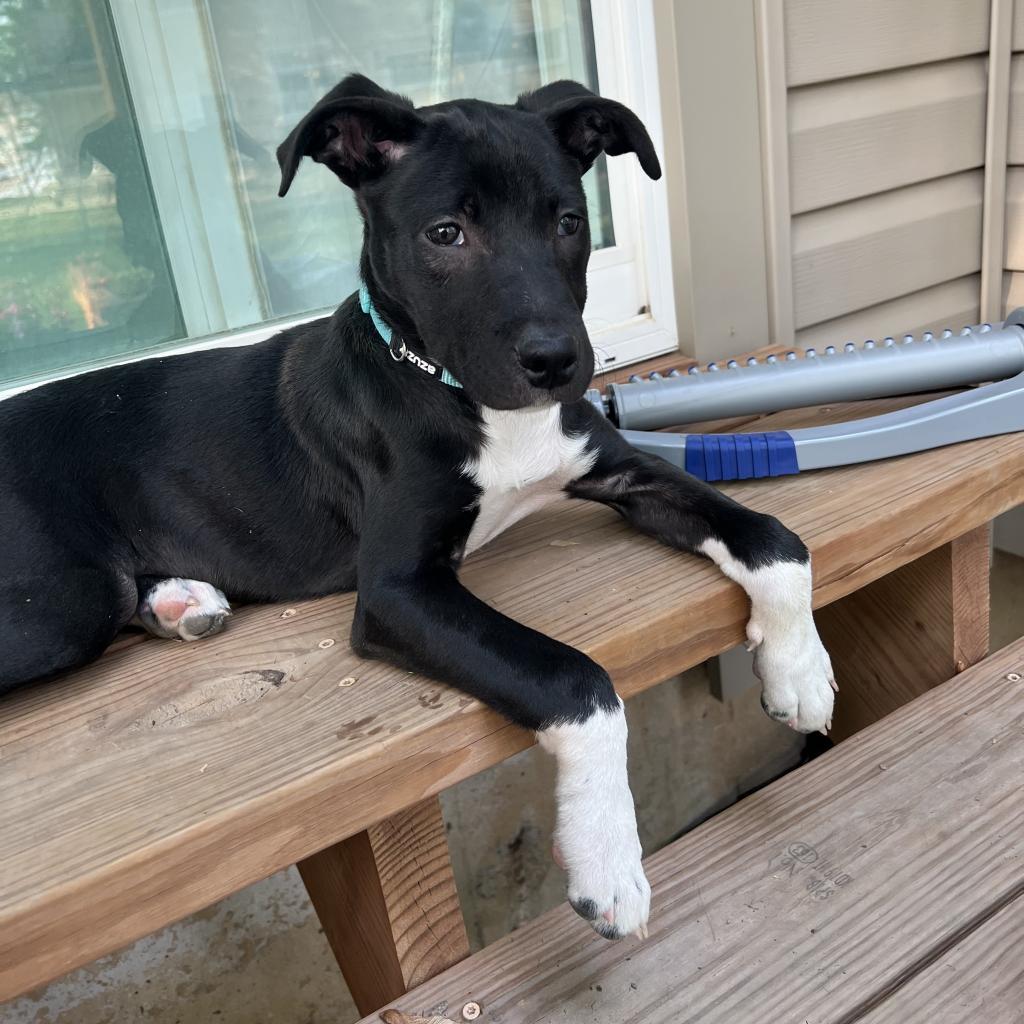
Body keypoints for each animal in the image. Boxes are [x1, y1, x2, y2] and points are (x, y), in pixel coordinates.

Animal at [0, 75, 831, 937]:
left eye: (568, 222)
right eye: (445, 233)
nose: (558, 361)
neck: (460, 392)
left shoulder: (623, 472)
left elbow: (776, 539)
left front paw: (799, 668)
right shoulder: (399, 592)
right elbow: (577, 680)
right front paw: (607, 856)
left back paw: (180, 600)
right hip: (61, 603)